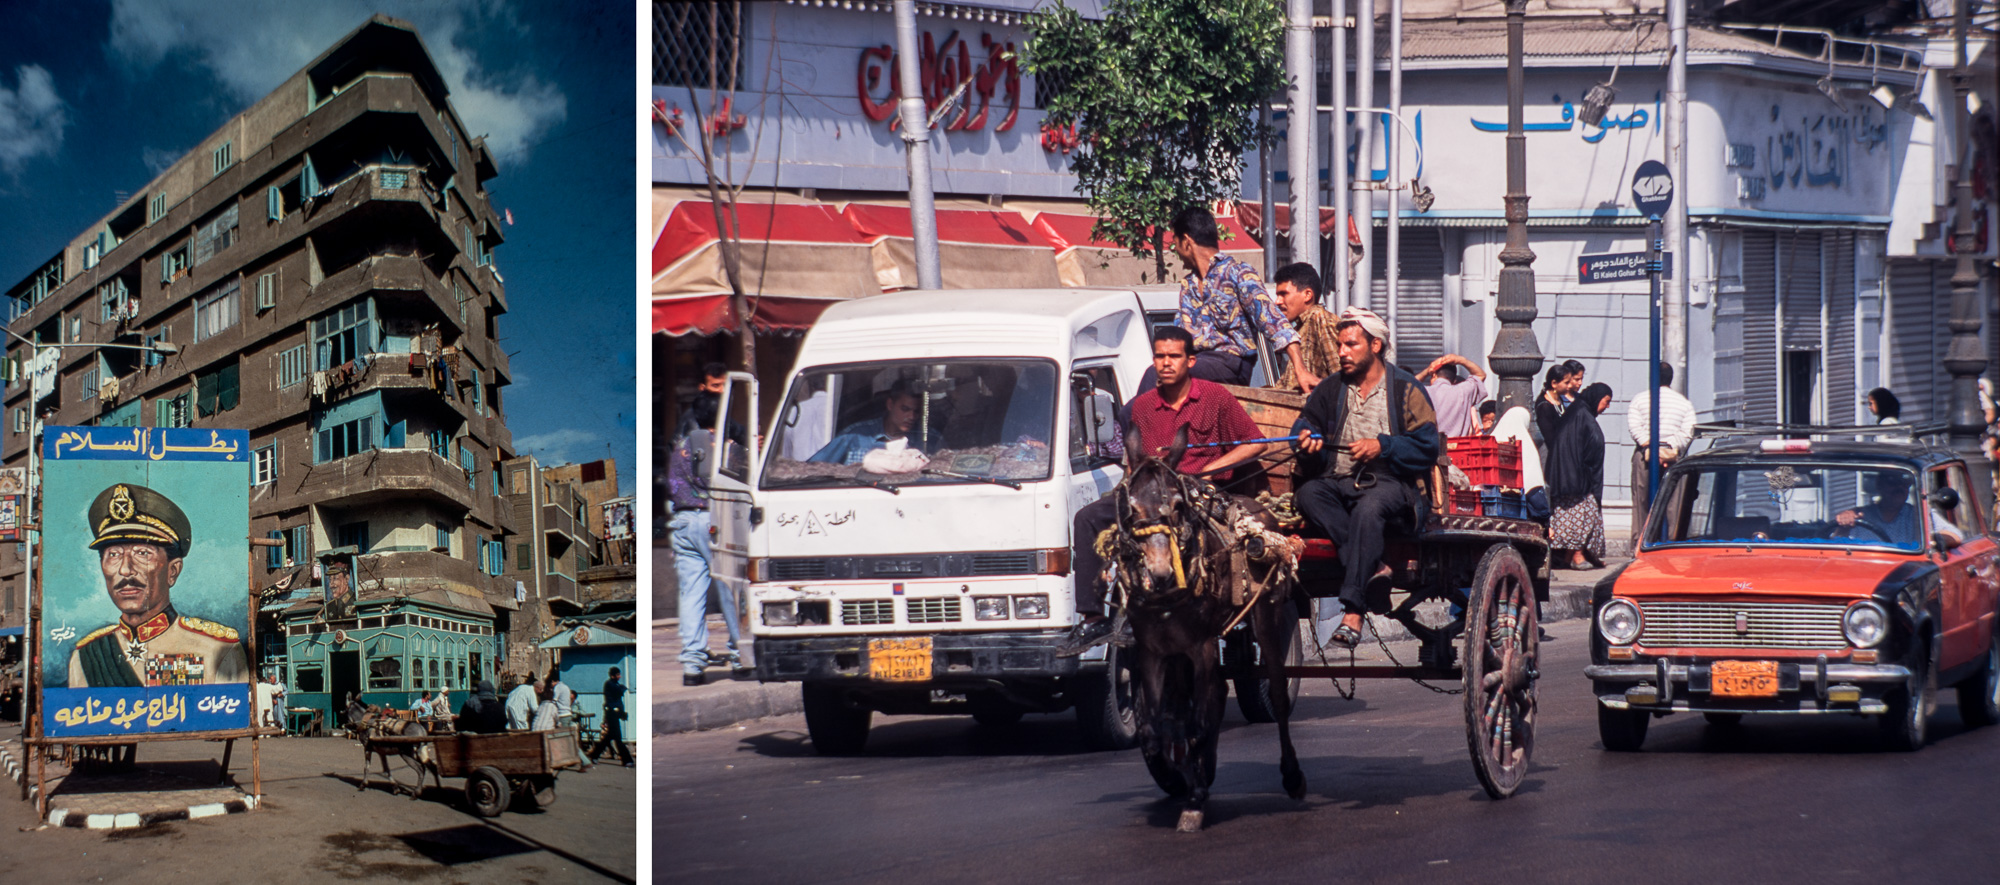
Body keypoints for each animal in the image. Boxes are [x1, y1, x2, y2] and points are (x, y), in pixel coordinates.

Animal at [1104, 424, 1304, 832]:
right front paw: (1182, 776)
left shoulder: (1202, 645)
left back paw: (1291, 776)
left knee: (1274, 693)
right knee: (1208, 696)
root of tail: (1257, 507)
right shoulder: (1152, 651)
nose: (1161, 574)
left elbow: (1197, 721)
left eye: (1179, 506)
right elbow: (1155, 728)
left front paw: (1194, 799)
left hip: (1265, 616)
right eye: (1131, 509)